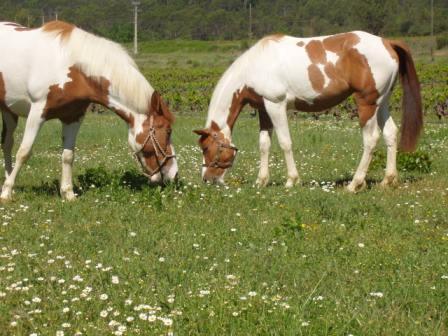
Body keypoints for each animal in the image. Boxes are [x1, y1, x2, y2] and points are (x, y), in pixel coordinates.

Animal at [0, 21, 178, 202]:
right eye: (168, 131)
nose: (174, 174)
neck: (71, 66)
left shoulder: (73, 117)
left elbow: (68, 155)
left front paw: (68, 194)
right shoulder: (37, 112)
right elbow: (24, 152)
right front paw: (6, 193)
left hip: (9, 111)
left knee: (7, 144)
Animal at [194, 31, 422, 192]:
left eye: (205, 148)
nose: (207, 179)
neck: (254, 67)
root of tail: (387, 42)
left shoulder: (276, 105)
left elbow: (285, 143)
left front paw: (291, 180)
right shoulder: (264, 109)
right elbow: (264, 145)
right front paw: (261, 181)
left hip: (366, 103)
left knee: (371, 139)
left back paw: (354, 184)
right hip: (381, 102)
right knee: (390, 133)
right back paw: (387, 180)